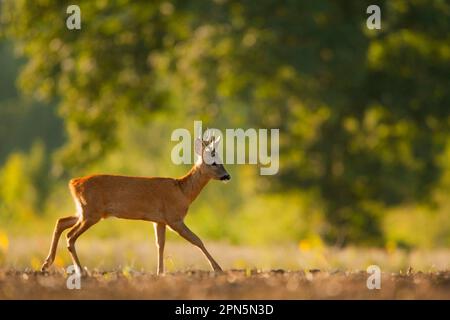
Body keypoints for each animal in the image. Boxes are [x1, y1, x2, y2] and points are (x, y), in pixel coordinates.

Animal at [40, 134, 230, 274]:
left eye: (222, 160)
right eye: (214, 163)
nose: (227, 176)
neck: (184, 192)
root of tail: (74, 183)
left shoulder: (159, 220)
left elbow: (160, 245)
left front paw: (160, 272)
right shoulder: (174, 217)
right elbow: (197, 240)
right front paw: (218, 268)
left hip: (84, 211)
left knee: (61, 222)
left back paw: (46, 264)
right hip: (91, 212)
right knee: (70, 235)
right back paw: (80, 271)